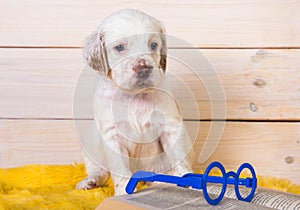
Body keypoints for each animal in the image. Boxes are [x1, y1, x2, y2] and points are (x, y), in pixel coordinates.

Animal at [77, 8, 192, 195]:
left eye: (153, 45)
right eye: (119, 47)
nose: (143, 67)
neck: (135, 95)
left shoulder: (171, 127)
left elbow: (179, 156)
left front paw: (187, 181)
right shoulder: (112, 135)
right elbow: (120, 170)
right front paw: (123, 193)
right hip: (90, 145)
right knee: (99, 170)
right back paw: (90, 181)